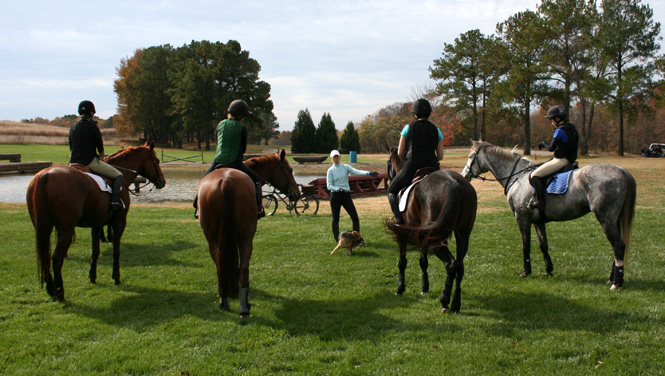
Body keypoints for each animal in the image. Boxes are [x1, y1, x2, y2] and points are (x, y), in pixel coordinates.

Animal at [26, 142, 166, 302]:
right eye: (156, 161)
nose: (163, 181)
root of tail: (46, 175)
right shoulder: (119, 222)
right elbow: (116, 250)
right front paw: (116, 277)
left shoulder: (97, 224)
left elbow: (95, 252)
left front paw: (92, 276)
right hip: (65, 229)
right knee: (56, 258)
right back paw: (60, 292)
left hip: (44, 227)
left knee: (45, 256)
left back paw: (51, 290)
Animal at [197, 148, 298, 316]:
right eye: (289, 170)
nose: (296, 193)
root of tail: (226, 181)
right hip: (247, 236)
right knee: (244, 269)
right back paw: (244, 306)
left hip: (212, 238)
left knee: (220, 267)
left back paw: (224, 301)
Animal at [384, 148, 478, 312]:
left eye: (388, 163)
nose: (389, 179)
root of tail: (455, 185)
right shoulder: (423, 236)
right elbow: (423, 261)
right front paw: (424, 287)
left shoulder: (401, 234)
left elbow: (402, 262)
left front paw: (400, 289)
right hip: (461, 235)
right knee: (460, 265)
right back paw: (455, 303)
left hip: (437, 240)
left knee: (451, 264)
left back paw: (444, 300)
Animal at [460, 140, 636, 290]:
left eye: (470, 157)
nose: (464, 176)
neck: (517, 176)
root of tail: (622, 171)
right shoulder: (538, 221)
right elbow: (543, 245)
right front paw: (549, 270)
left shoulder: (522, 219)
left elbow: (526, 246)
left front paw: (526, 271)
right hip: (615, 220)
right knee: (618, 246)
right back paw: (612, 279)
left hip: (606, 219)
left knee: (618, 246)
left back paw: (617, 283)